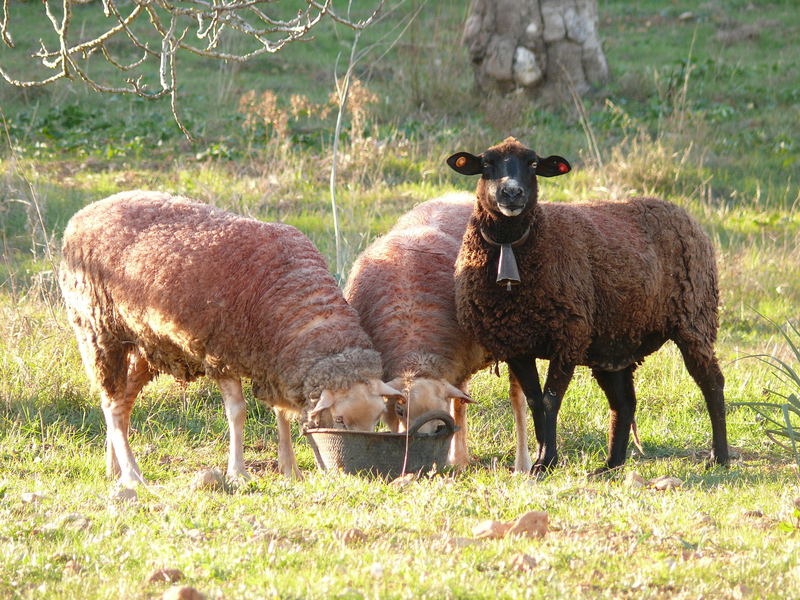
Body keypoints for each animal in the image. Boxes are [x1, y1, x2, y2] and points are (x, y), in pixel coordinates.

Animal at [59, 192, 404, 488]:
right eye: (341, 420)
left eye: (377, 418)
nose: (360, 466)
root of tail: (85, 212)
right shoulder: (221, 353)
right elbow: (237, 413)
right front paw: (238, 472)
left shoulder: (275, 363)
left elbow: (281, 414)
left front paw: (290, 470)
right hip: (97, 332)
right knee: (110, 402)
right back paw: (132, 475)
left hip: (145, 345)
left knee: (122, 403)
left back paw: (115, 468)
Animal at [446, 136, 728, 474]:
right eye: (487, 164)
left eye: (533, 164)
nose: (512, 193)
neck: (514, 248)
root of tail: (682, 212)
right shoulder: (517, 344)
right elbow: (535, 401)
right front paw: (542, 459)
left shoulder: (569, 336)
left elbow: (550, 400)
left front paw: (547, 460)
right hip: (615, 339)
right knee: (624, 402)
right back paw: (611, 465)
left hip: (695, 318)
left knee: (711, 382)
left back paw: (719, 457)